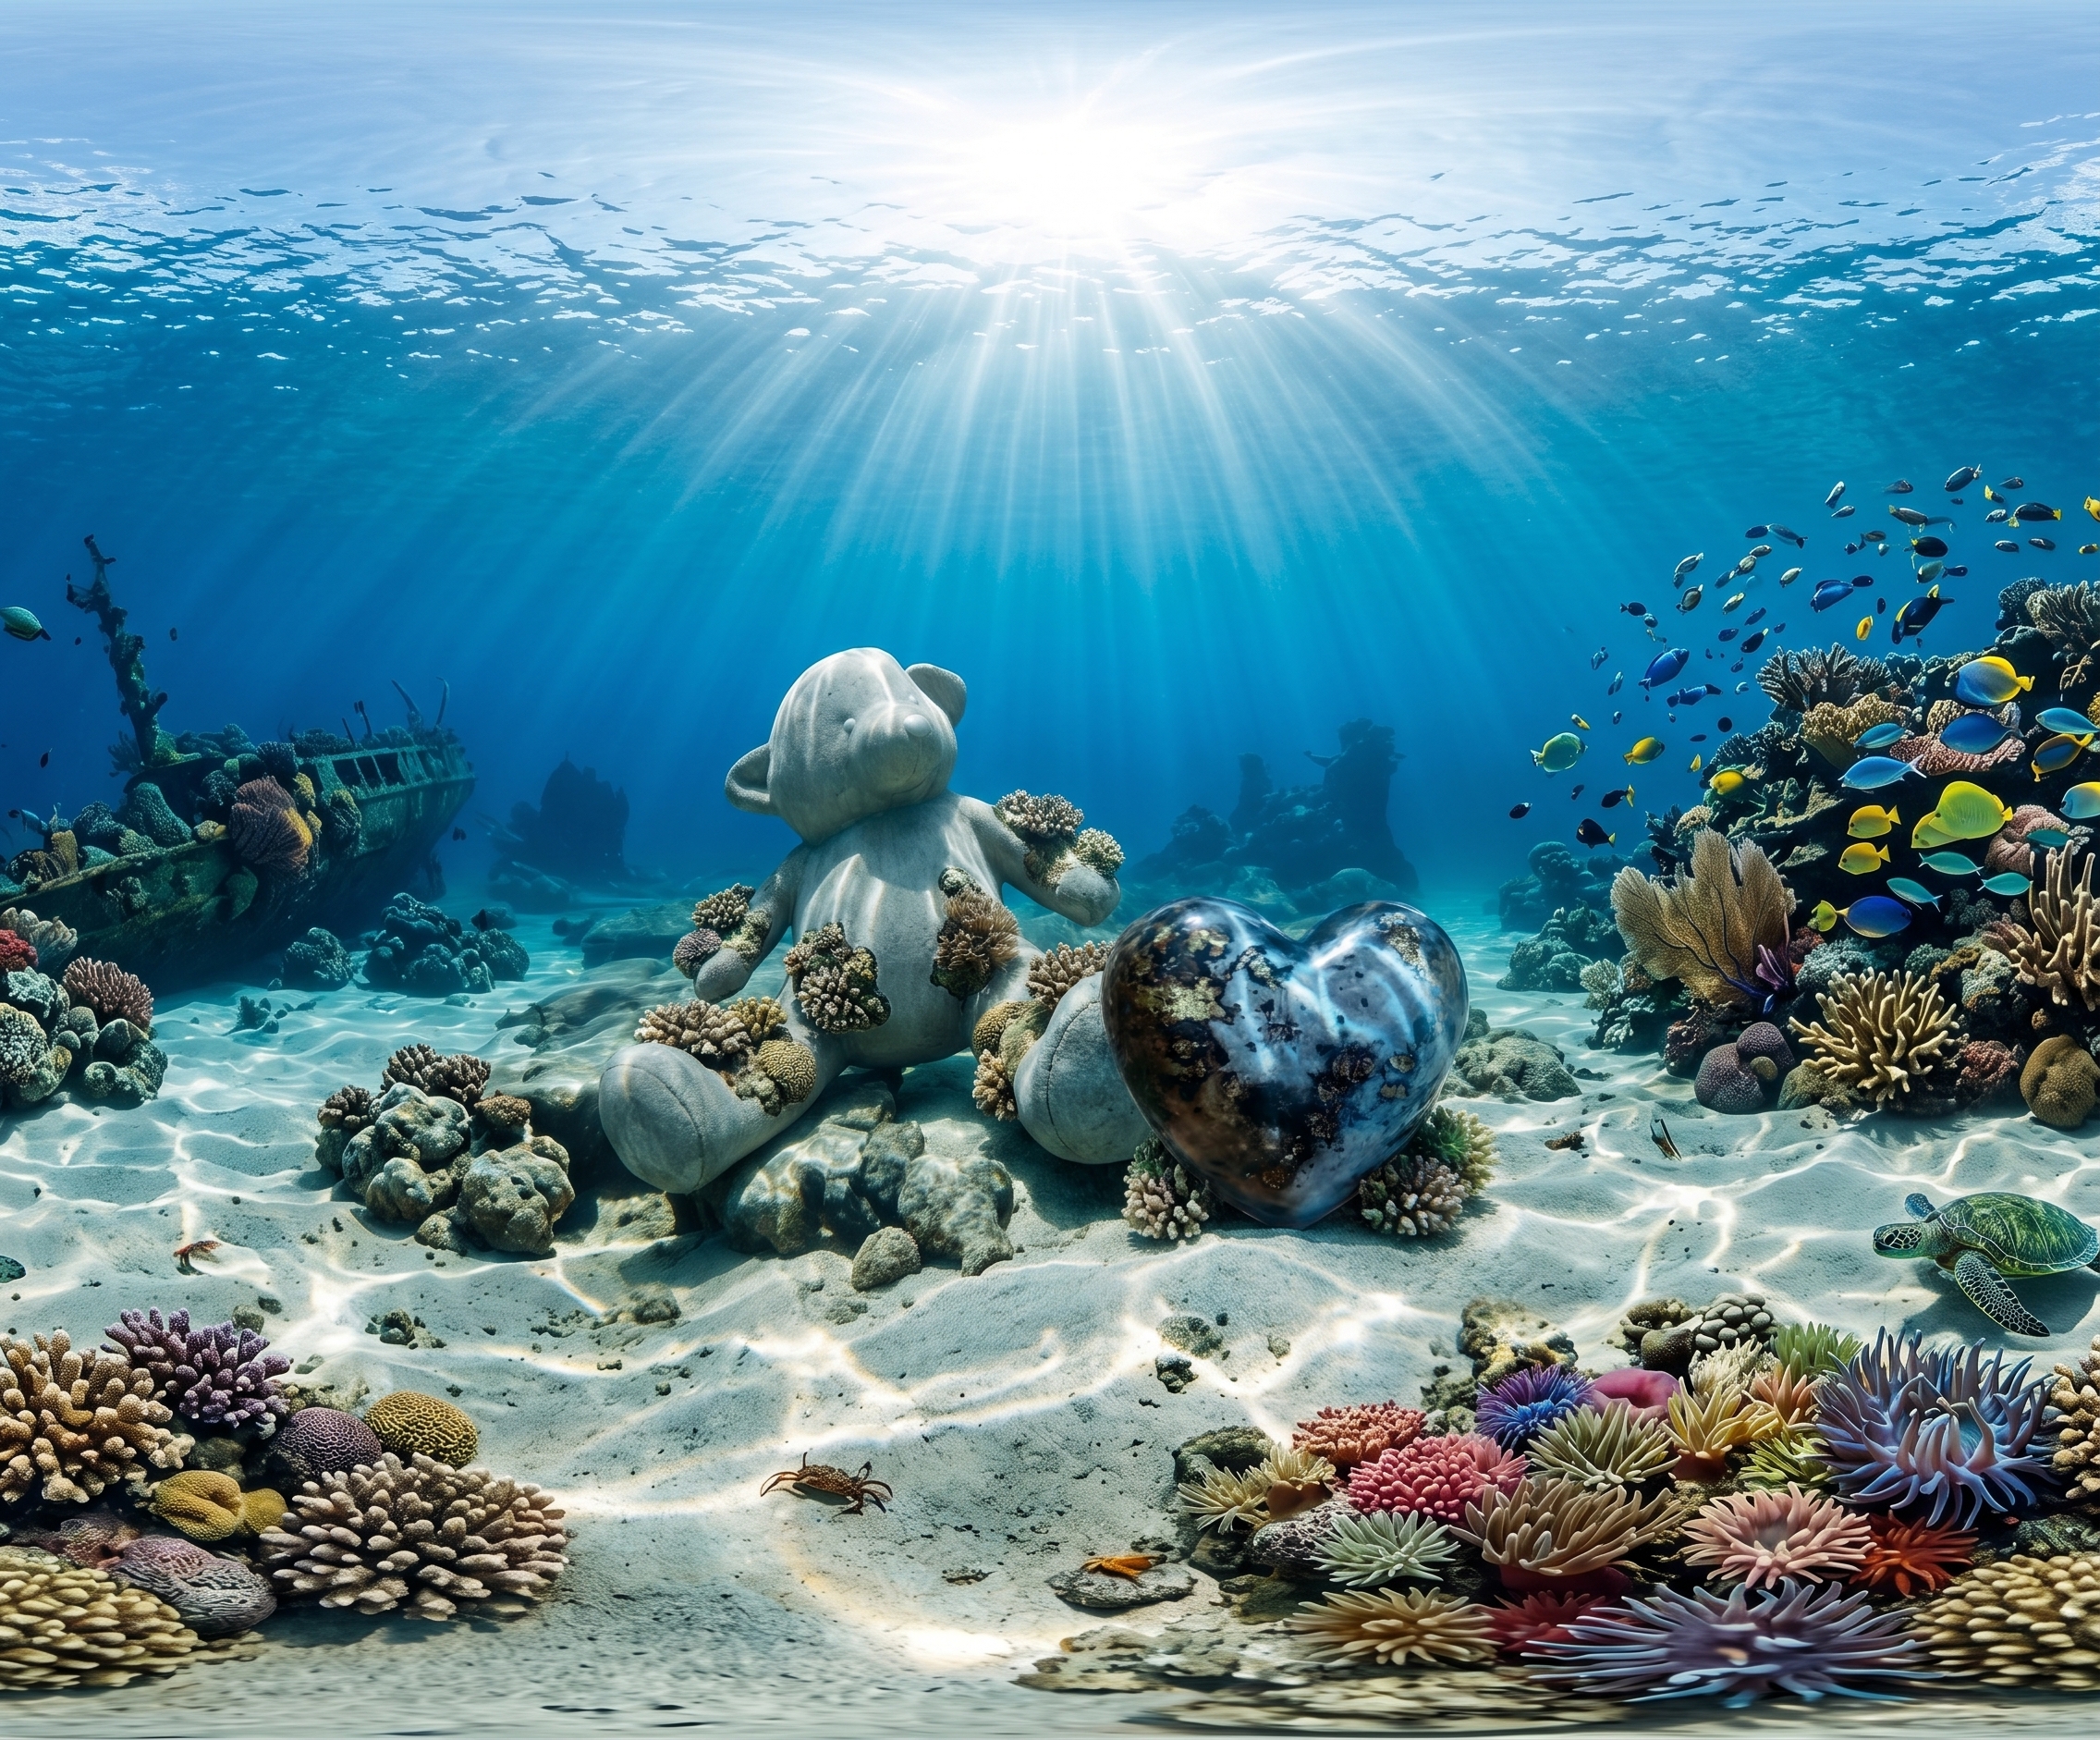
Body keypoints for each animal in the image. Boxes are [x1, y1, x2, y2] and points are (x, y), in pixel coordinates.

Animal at [598, 648, 1149, 1194]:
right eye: (844, 723)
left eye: (913, 698)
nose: (909, 727)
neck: (883, 812)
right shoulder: (797, 862)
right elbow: (757, 923)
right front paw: (714, 970)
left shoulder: (975, 817)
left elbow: (1050, 872)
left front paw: (1090, 885)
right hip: (800, 1016)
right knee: (772, 1068)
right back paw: (657, 1099)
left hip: (997, 967)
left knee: (1014, 1015)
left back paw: (1083, 1041)